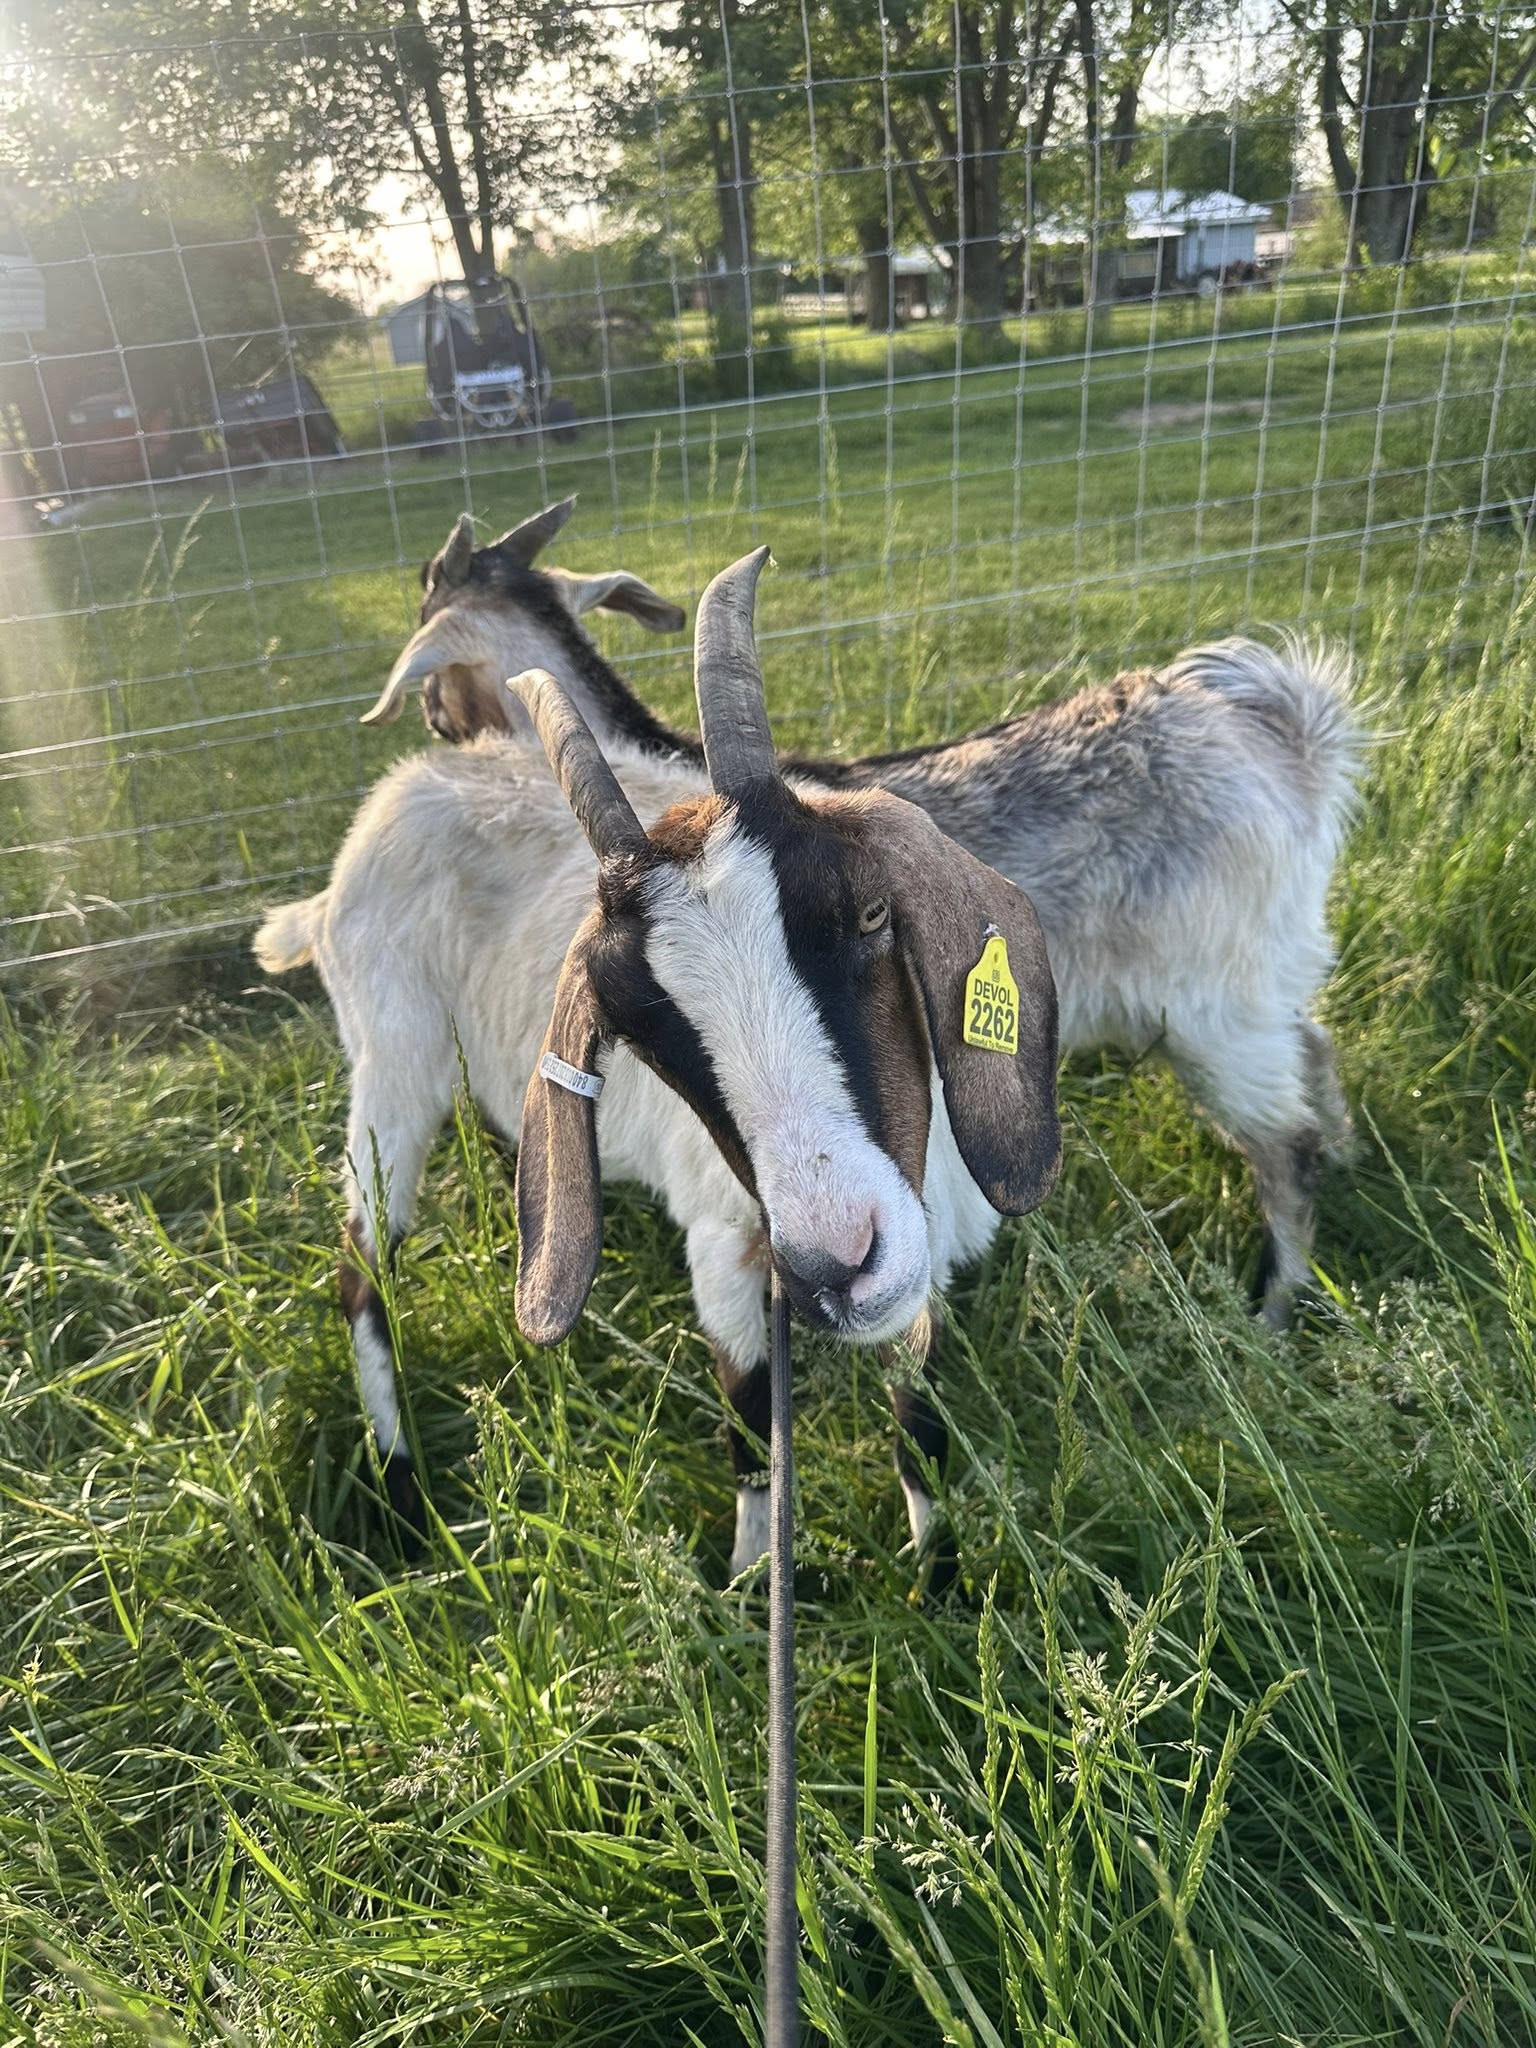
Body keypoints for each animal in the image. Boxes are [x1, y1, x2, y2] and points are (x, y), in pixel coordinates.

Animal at [257, 551, 1060, 1586]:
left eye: (871, 913)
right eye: (636, 1030)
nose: (835, 1262)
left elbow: (918, 1417)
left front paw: (940, 1577)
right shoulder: (722, 1245)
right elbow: (750, 1420)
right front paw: (752, 1582)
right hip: (392, 1067)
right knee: (362, 1269)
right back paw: (398, 1491)